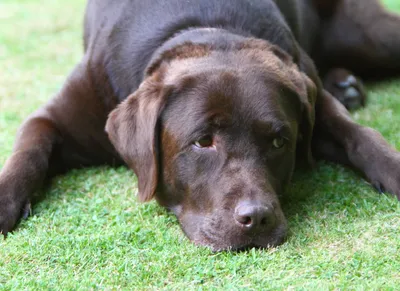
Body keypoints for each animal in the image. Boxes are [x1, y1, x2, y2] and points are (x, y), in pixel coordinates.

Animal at [0, 0, 400, 251]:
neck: (204, 28)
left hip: (372, 38)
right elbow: (28, 154)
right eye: (203, 142)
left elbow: (360, 136)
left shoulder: (309, 89)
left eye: (278, 142)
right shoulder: (56, 116)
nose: (257, 217)